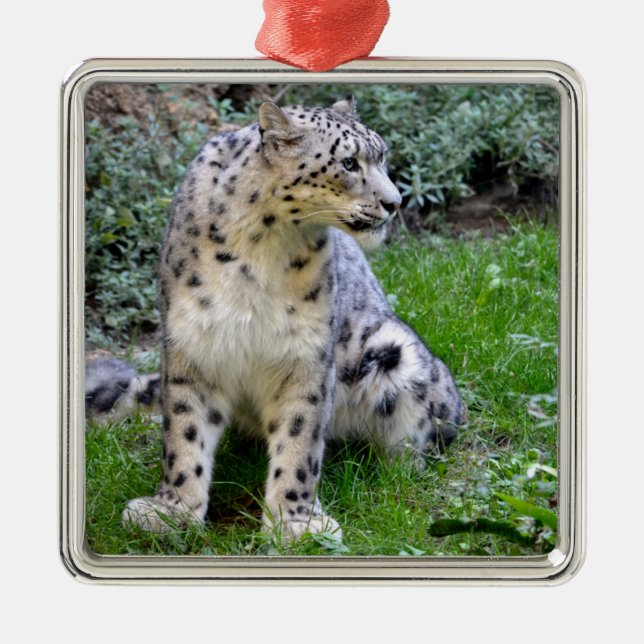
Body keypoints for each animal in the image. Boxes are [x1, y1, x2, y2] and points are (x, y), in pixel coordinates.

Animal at [122, 95, 465, 541]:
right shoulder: (191, 345)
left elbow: (300, 439)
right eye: (349, 163)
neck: (259, 246)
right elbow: (185, 432)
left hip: (394, 350)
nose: (395, 203)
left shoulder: (306, 353)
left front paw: (295, 523)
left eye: (382, 156)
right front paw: (173, 512)